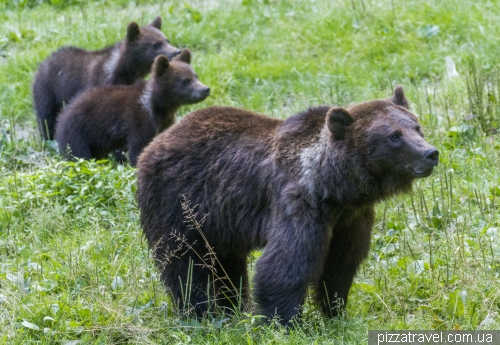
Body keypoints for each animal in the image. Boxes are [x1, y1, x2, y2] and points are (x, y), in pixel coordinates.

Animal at [136, 85, 438, 322]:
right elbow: (286, 264)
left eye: (417, 127)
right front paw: (285, 322)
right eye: (394, 136)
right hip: (179, 203)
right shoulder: (298, 203)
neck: (334, 187)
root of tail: (155, 142)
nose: (430, 153)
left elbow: (341, 264)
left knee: (225, 263)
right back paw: (200, 313)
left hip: (221, 218)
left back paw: (232, 308)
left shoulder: (351, 218)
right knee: (186, 264)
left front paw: (337, 312)